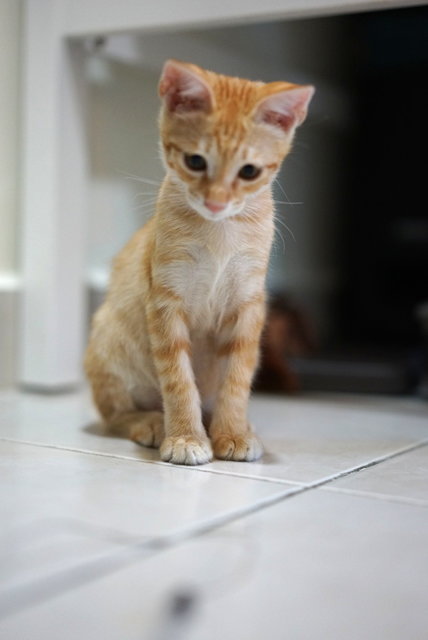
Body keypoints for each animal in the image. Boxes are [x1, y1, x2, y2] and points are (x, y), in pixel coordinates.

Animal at [85, 60, 314, 464]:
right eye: (195, 161)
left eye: (249, 171)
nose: (216, 202)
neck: (219, 232)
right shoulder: (165, 300)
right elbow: (178, 379)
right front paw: (185, 438)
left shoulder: (248, 304)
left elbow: (237, 379)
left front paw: (232, 432)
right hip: (108, 340)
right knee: (114, 415)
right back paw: (150, 421)